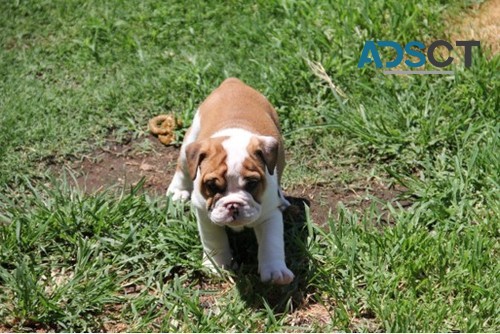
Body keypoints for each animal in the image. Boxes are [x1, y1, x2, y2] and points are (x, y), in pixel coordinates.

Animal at [168, 77, 292, 284]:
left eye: (252, 184)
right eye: (211, 185)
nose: (233, 205)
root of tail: (232, 82)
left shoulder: (269, 214)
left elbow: (271, 242)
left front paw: (276, 272)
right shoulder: (204, 212)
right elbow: (213, 240)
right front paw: (216, 265)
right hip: (190, 141)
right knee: (182, 167)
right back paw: (177, 191)